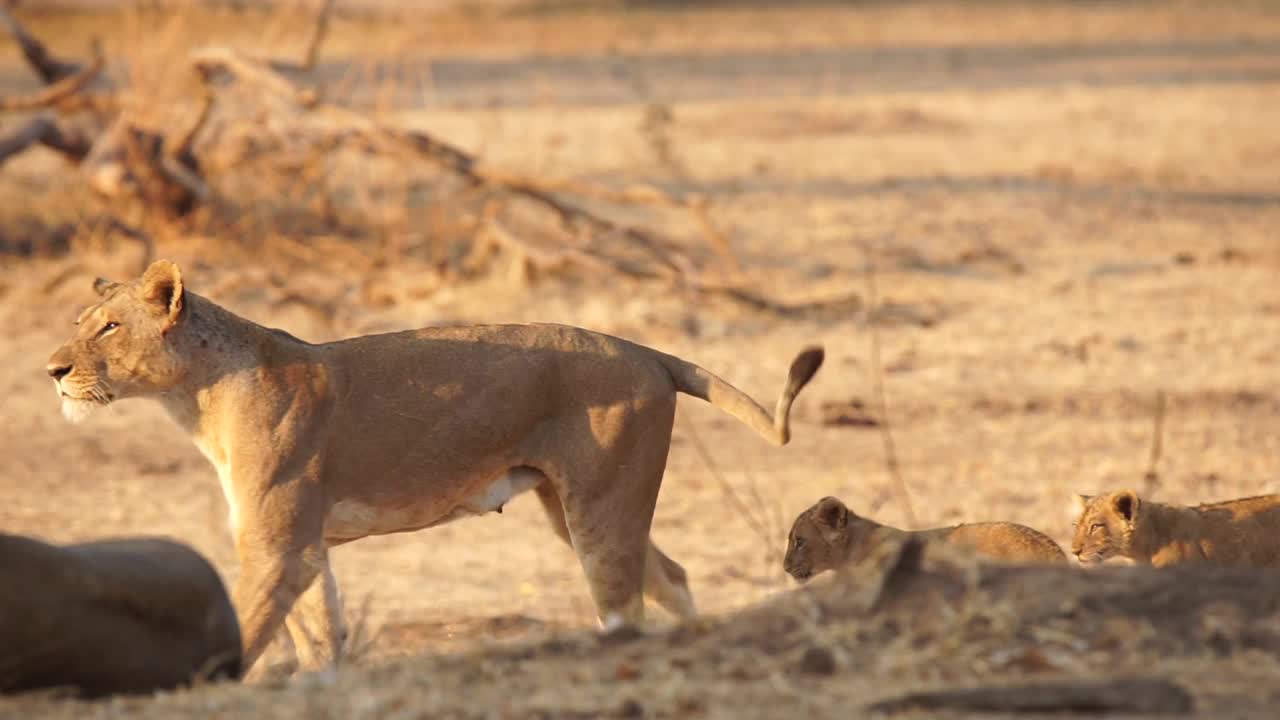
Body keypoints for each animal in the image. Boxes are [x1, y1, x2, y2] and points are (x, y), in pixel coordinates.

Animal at [45, 258, 824, 671]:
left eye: (108, 328)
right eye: (79, 325)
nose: (52, 370)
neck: (196, 399)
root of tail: (645, 350)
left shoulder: (278, 546)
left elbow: (255, 627)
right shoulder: (307, 547)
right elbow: (319, 634)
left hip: (600, 506)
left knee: (623, 602)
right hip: (580, 506)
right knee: (673, 578)